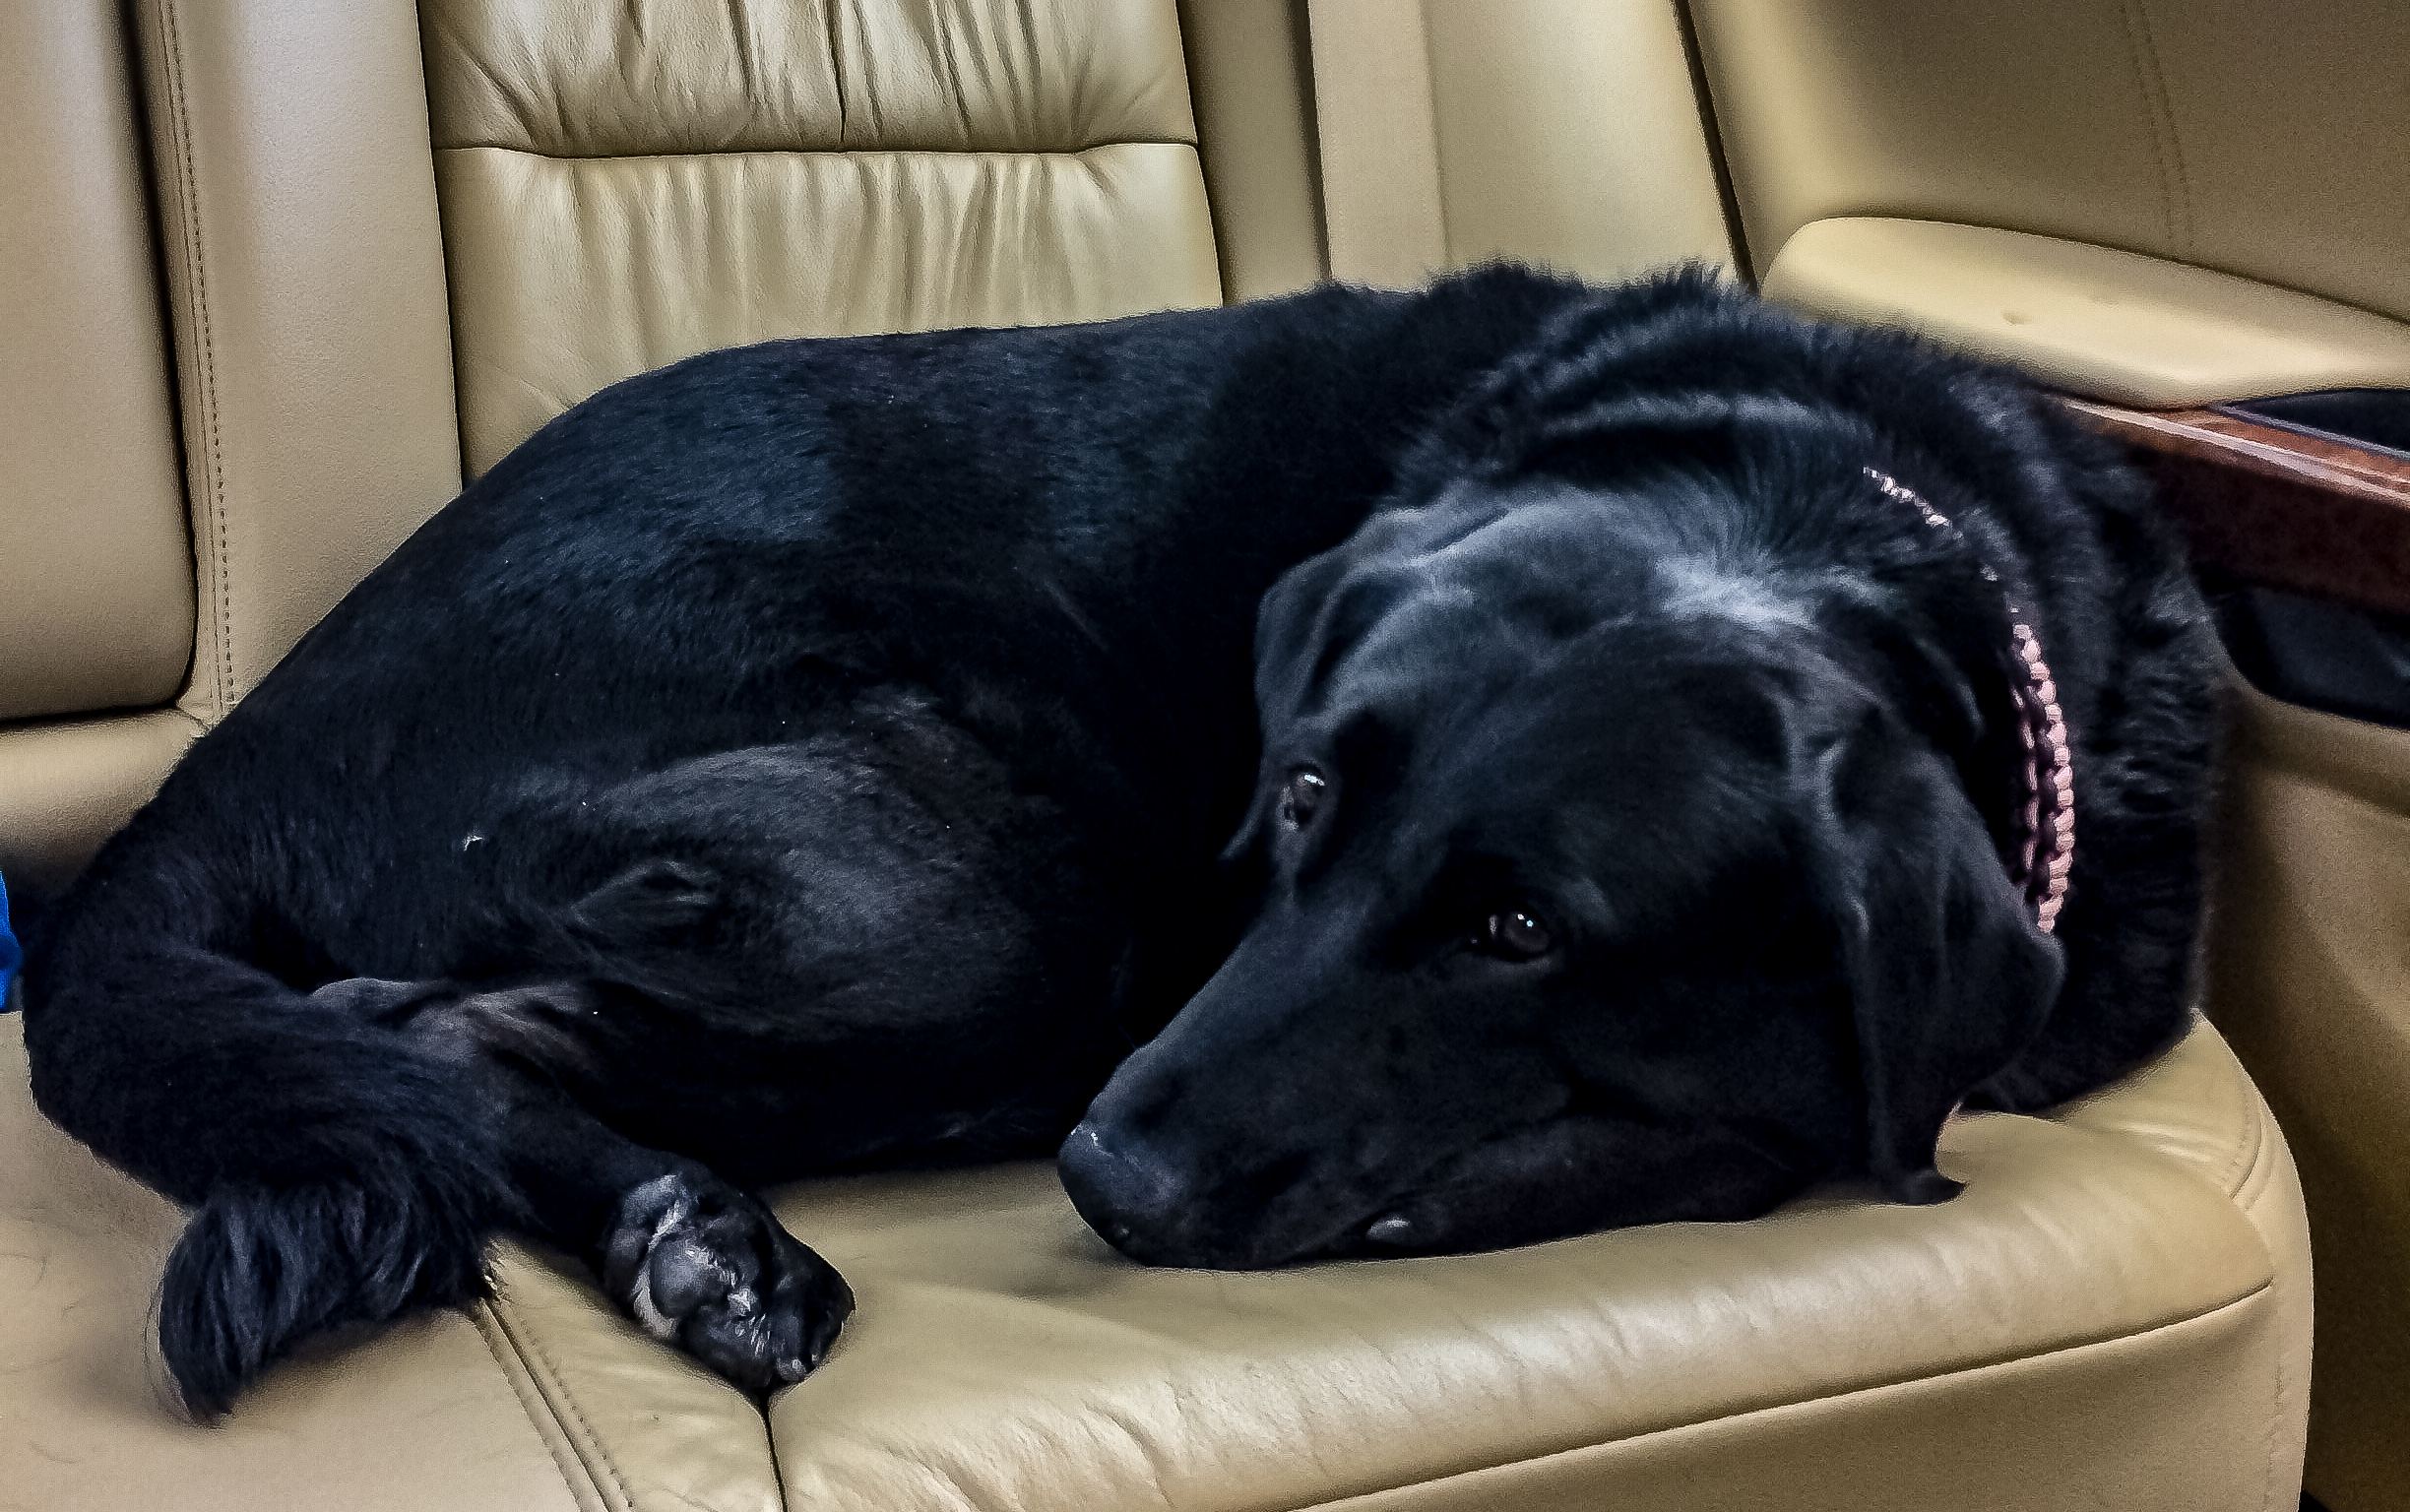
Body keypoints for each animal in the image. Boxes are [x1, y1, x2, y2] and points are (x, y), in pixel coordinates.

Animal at [19, 266, 2207, 1418]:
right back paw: (696, 1236)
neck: (1824, 501)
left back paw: (694, 1239)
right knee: (422, 1024)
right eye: (1301, 793)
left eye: (1519, 930)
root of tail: (233, 748)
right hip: (1014, 895)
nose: (1105, 1178)